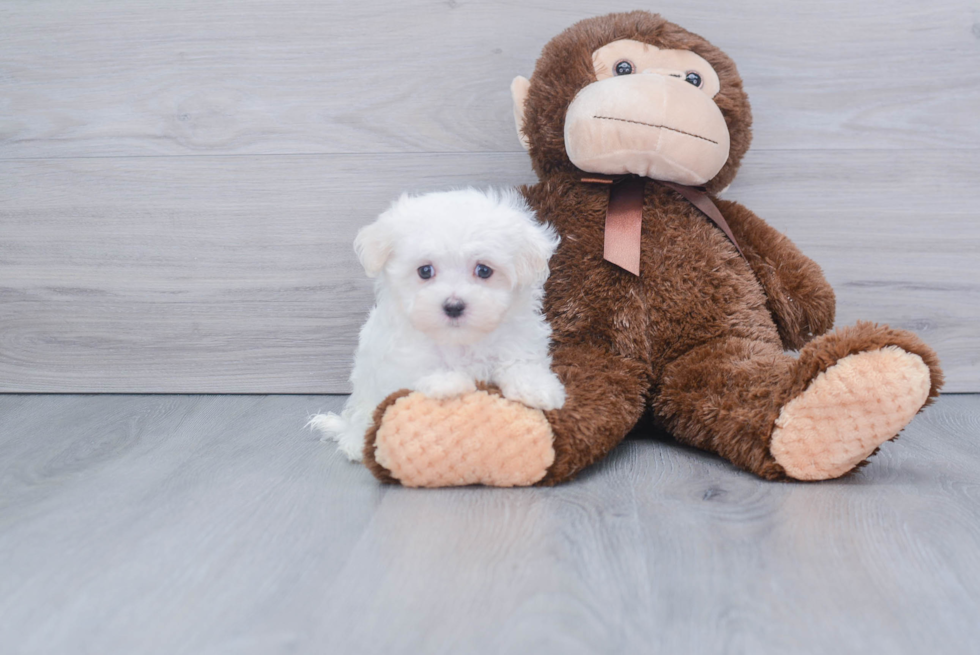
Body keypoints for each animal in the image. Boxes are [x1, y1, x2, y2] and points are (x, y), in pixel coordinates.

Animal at [306, 184, 568, 462]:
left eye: (484, 270)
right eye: (425, 271)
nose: (453, 306)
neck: (459, 340)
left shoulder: (517, 338)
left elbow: (521, 363)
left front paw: (539, 390)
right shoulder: (400, 356)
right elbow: (421, 367)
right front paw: (447, 383)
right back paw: (356, 443)